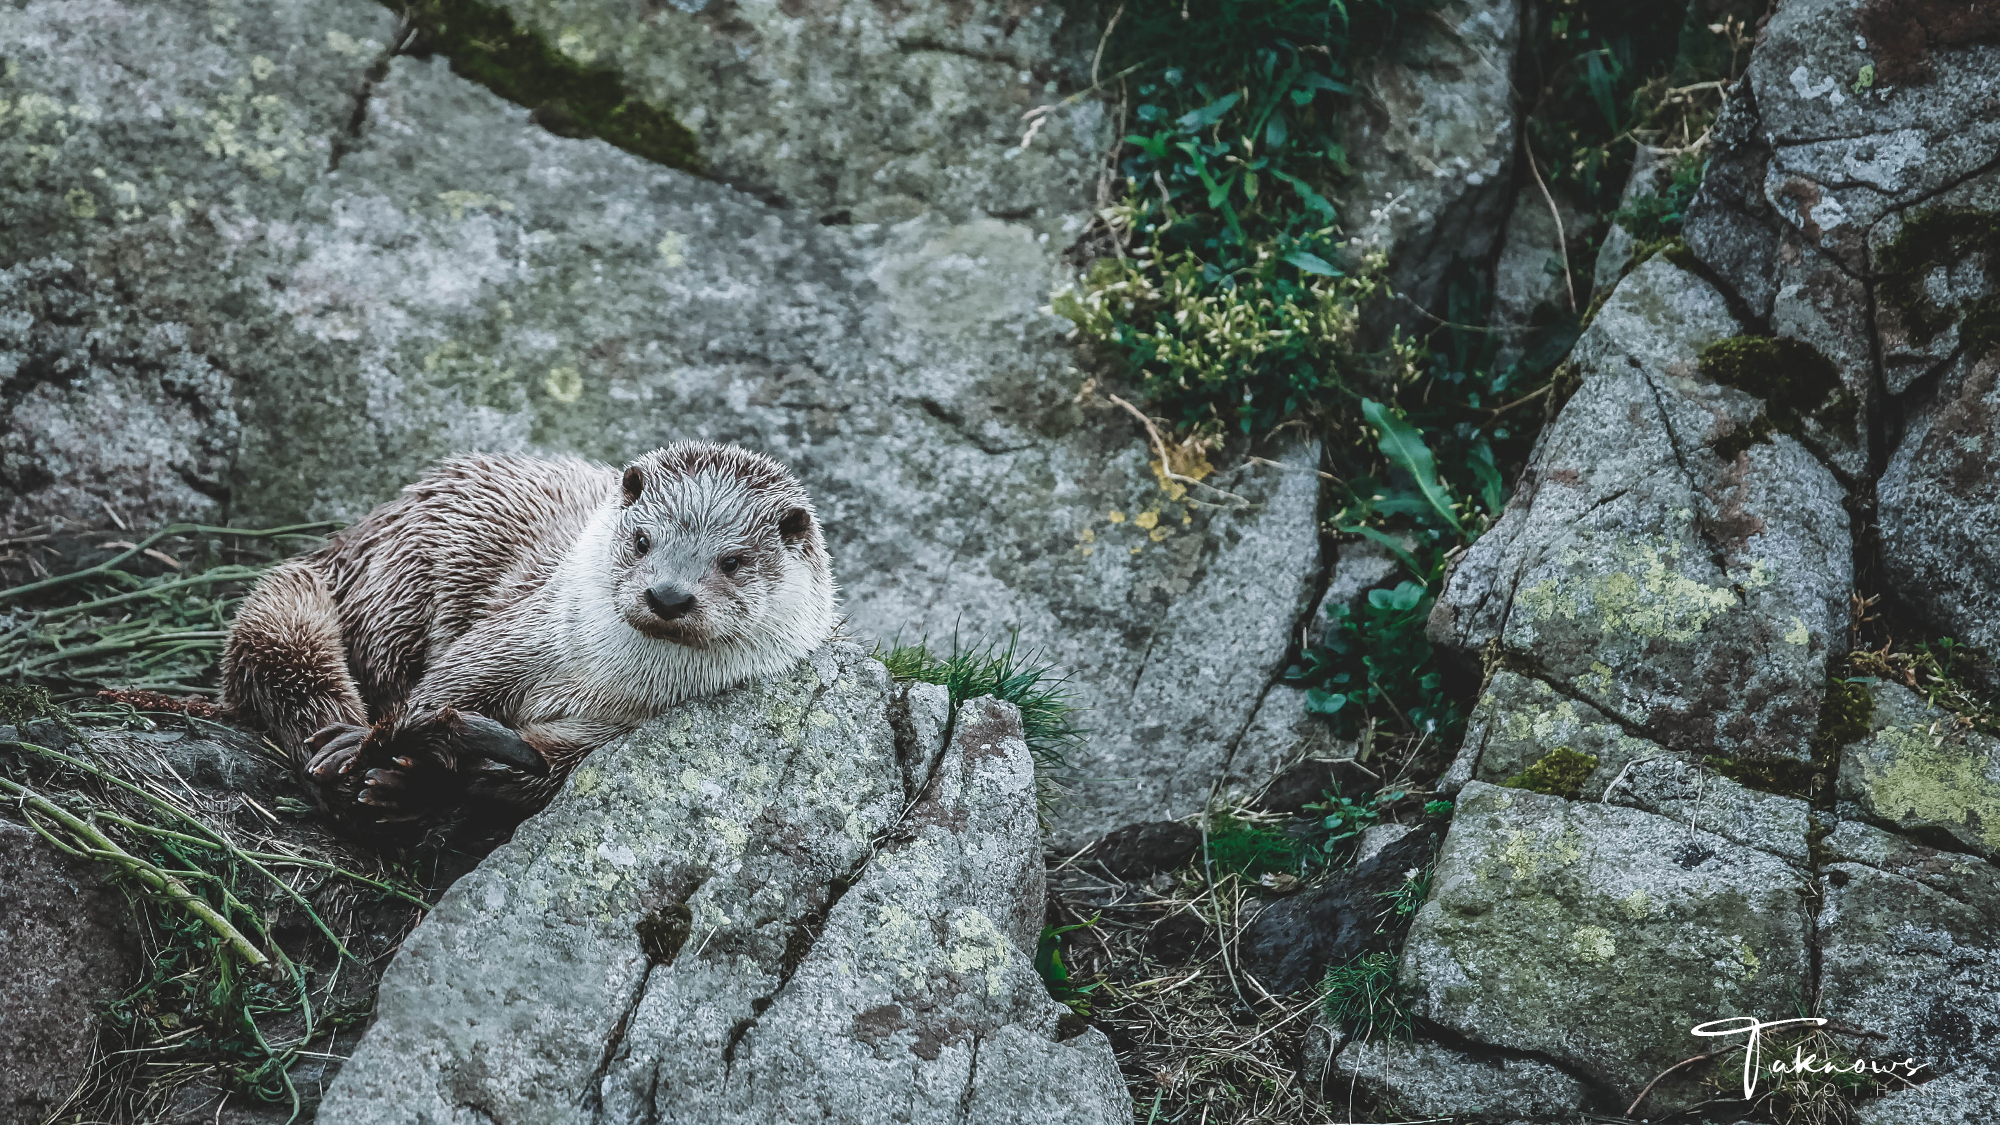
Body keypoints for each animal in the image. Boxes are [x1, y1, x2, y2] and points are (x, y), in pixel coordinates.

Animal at [225, 440, 836, 824]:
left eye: (732, 561)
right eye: (642, 540)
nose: (667, 595)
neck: (604, 679)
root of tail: (349, 538)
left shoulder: (615, 730)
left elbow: (549, 774)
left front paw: (448, 768)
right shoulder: (522, 634)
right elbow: (450, 681)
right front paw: (370, 745)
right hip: (400, 585)